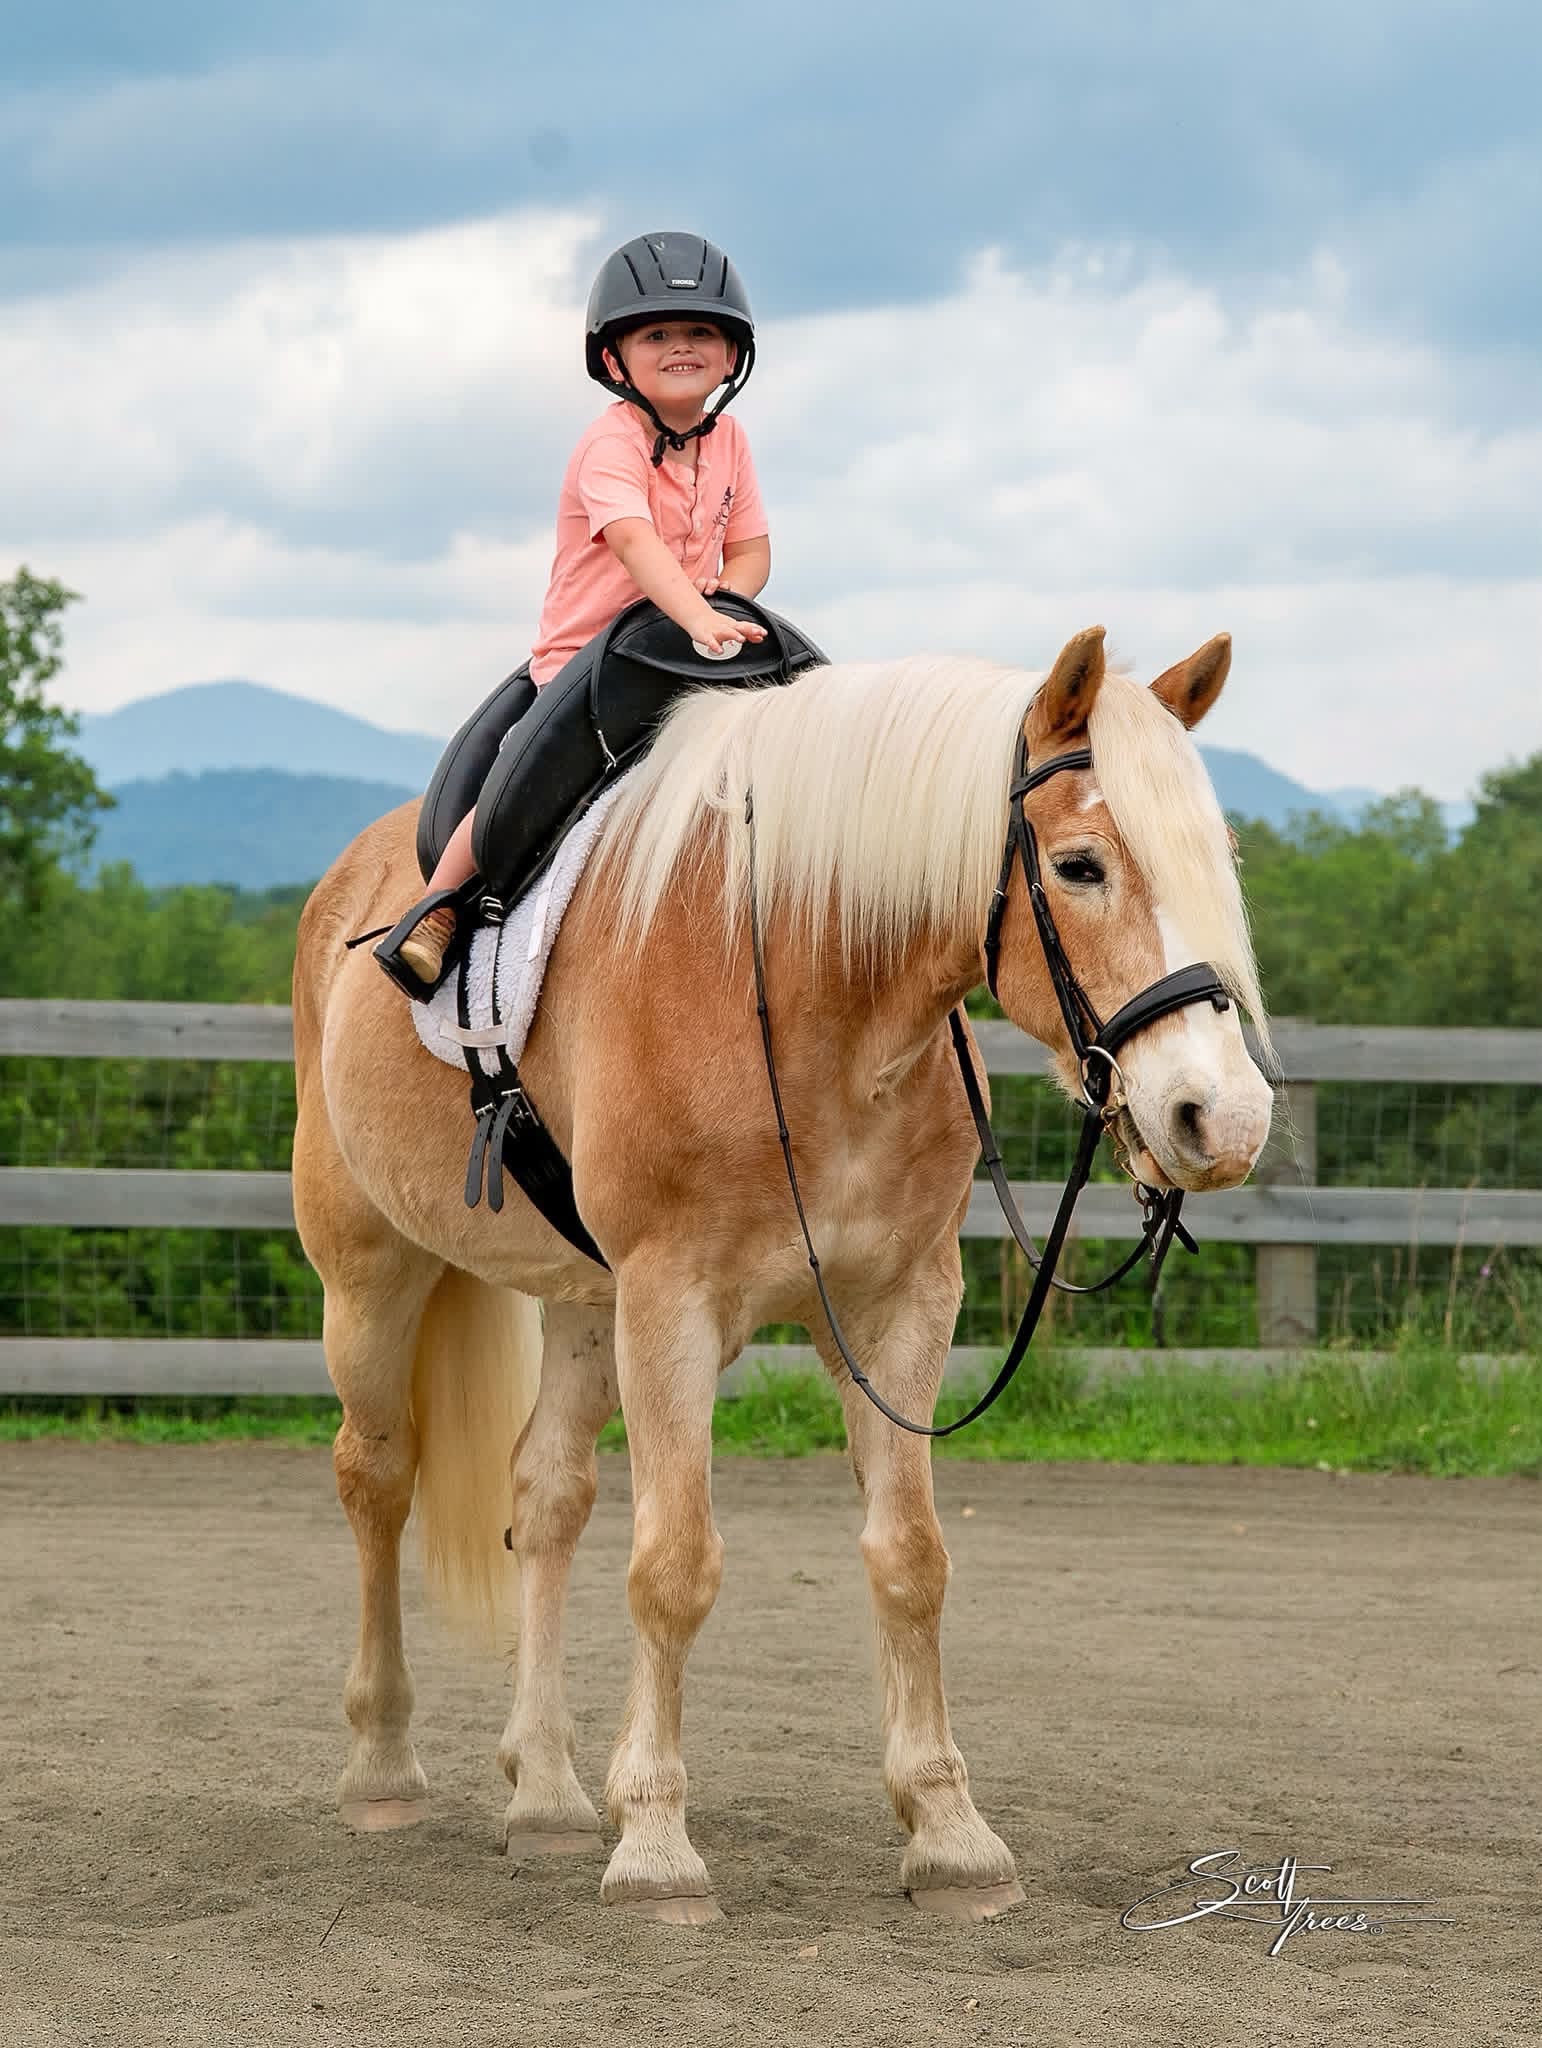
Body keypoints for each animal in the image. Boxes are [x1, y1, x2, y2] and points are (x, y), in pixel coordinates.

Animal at [290, 624, 1275, 1925]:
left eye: (1218, 860)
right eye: (1080, 865)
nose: (1225, 1118)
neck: (812, 990)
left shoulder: (899, 1305)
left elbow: (911, 1557)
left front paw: (950, 1832)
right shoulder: (672, 1303)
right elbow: (675, 1564)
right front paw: (657, 1846)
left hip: (582, 1306)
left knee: (545, 1498)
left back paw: (545, 1791)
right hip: (370, 1272)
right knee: (377, 1478)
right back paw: (381, 1764)